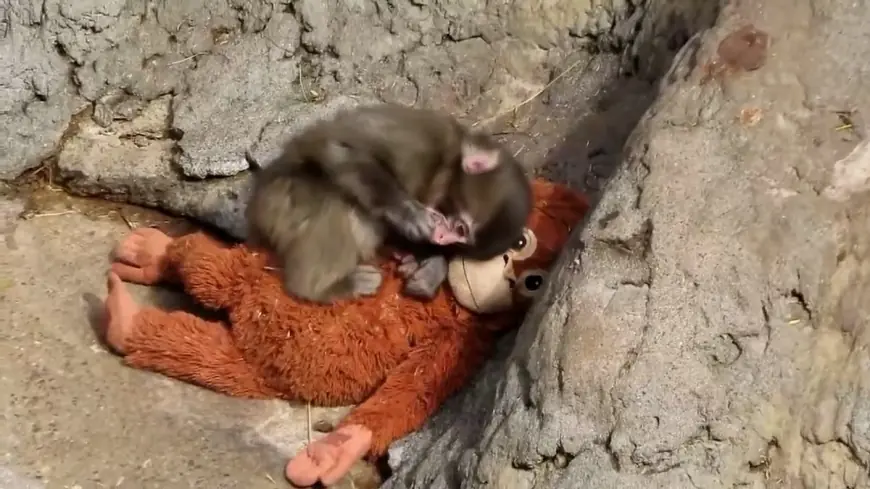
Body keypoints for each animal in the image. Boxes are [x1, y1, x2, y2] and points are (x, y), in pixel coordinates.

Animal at [245, 103, 533, 303]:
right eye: (461, 228)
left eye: (460, 240)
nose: (442, 239)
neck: (445, 166)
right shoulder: (420, 141)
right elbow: (341, 146)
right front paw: (408, 213)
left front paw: (428, 268)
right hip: (282, 199)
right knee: (334, 206)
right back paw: (323, 287)